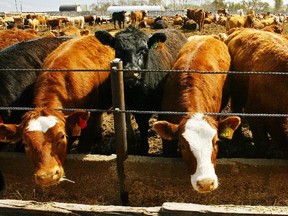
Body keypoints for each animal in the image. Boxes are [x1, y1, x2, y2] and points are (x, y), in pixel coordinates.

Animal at [95, 25, 188, 155]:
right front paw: (143, 148)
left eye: (143, 50)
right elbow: (142, 127)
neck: (140, 93)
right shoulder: (136, 109)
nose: (130, 72)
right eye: (118, 49)